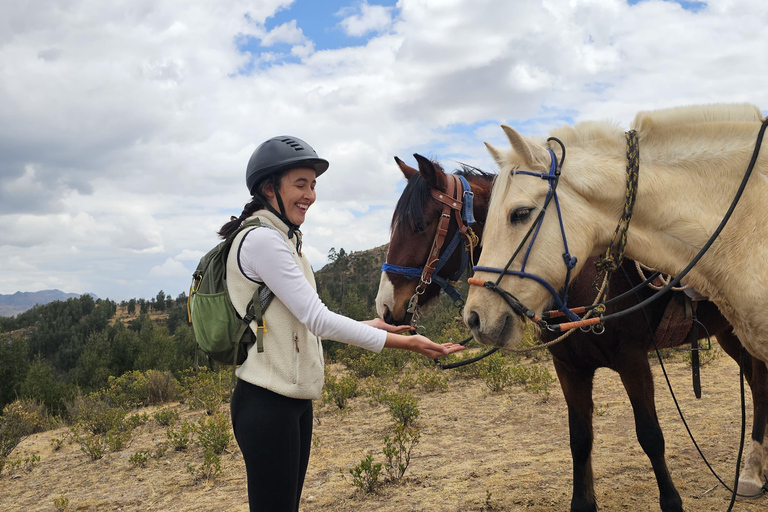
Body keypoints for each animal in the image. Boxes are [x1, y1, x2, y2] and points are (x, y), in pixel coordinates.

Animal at [378, 156, 768, 512]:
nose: (385, 308)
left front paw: (671, 502)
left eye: (419, 224)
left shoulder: (633, 361)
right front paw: (583, 503)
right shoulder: (569, 368)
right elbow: (579, 439)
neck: (576, 279)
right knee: (756, 384)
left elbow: (650, 436)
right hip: (732, 334)